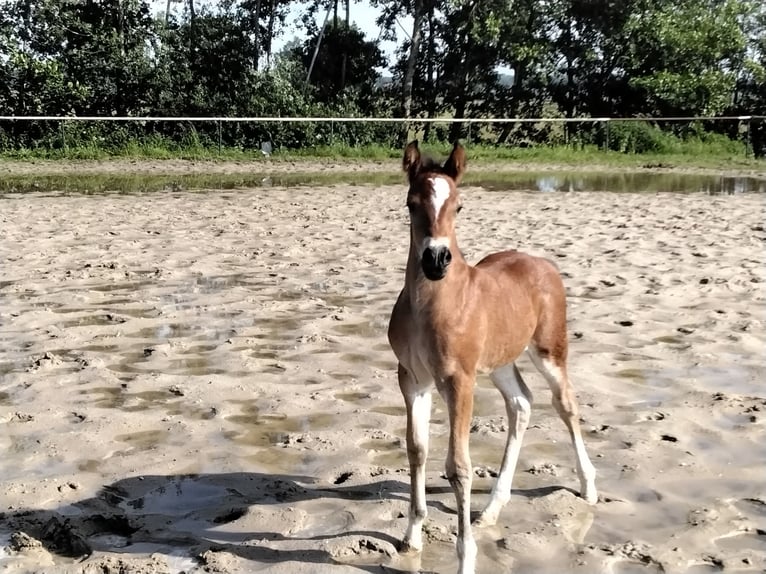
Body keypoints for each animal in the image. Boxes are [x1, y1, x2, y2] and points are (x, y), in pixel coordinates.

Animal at [390, 141, 600, 574]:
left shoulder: (459, 381)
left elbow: (458, 468)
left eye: (459, 206)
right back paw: (491, 509)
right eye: (411, 203)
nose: (436, 260)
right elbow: (417, 450)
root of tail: (542, 262)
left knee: (566, 403)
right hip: (502, 360)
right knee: (521, 403)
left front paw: (465, 558)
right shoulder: (413, 380)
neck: (430, 305)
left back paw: (588, 485)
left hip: (548, 351)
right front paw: (412, 536)